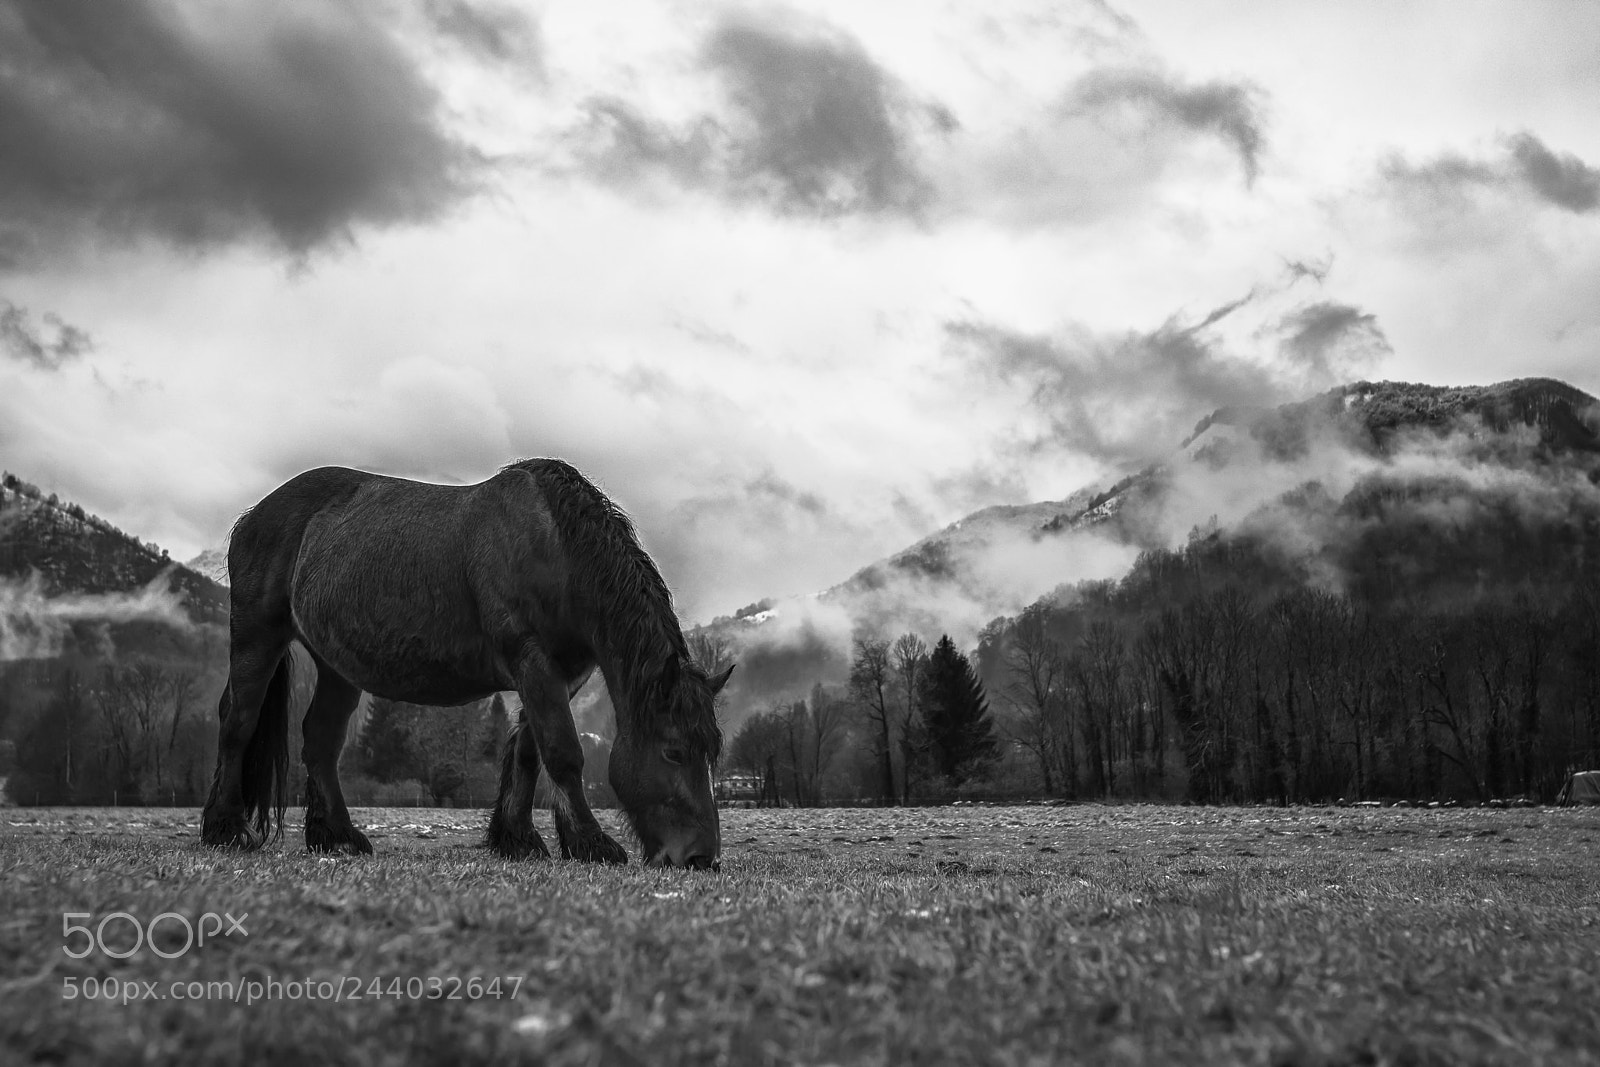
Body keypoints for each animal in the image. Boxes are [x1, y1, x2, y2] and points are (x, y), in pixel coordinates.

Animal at [200, 459, 732, 869]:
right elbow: (563, 752)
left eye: (712, 753)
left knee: (321, 741)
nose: (701, 858)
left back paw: (336, 836)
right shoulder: (533, 661)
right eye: (673, 752)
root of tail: (253, 517)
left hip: (336, 666)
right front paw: (591, 843)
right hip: (257, 638)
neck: (557, 548)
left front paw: (519, 839)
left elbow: (528, 752)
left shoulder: (562, 675)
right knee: (238, 722)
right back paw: (226, 828)